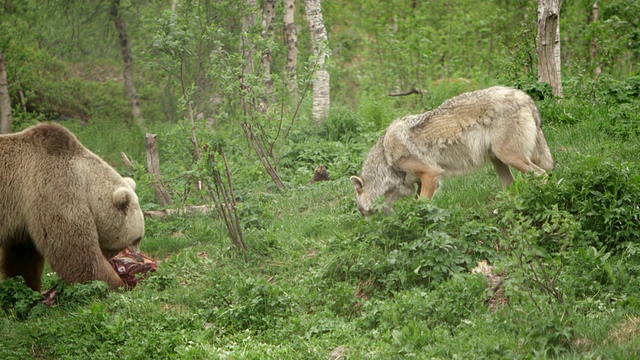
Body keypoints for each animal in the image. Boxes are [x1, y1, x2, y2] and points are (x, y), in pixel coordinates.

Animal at [0, 122, 144, 292]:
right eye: (137, 239)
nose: (140, 258)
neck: (87, 187)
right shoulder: (53, 186)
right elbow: (74, 250)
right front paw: (120, 284)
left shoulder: (24, 213)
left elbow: (22, 259)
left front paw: (27, 287)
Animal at [350, 86, 556, 215]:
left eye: (363, 212)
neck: (387, 158)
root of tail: (524, 96)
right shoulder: (423, 181)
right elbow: (418, 203)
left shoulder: (431, 174)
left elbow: (422, 205)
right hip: (498, 160)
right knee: (511, 185)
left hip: (510, 157)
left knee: (541, 175)